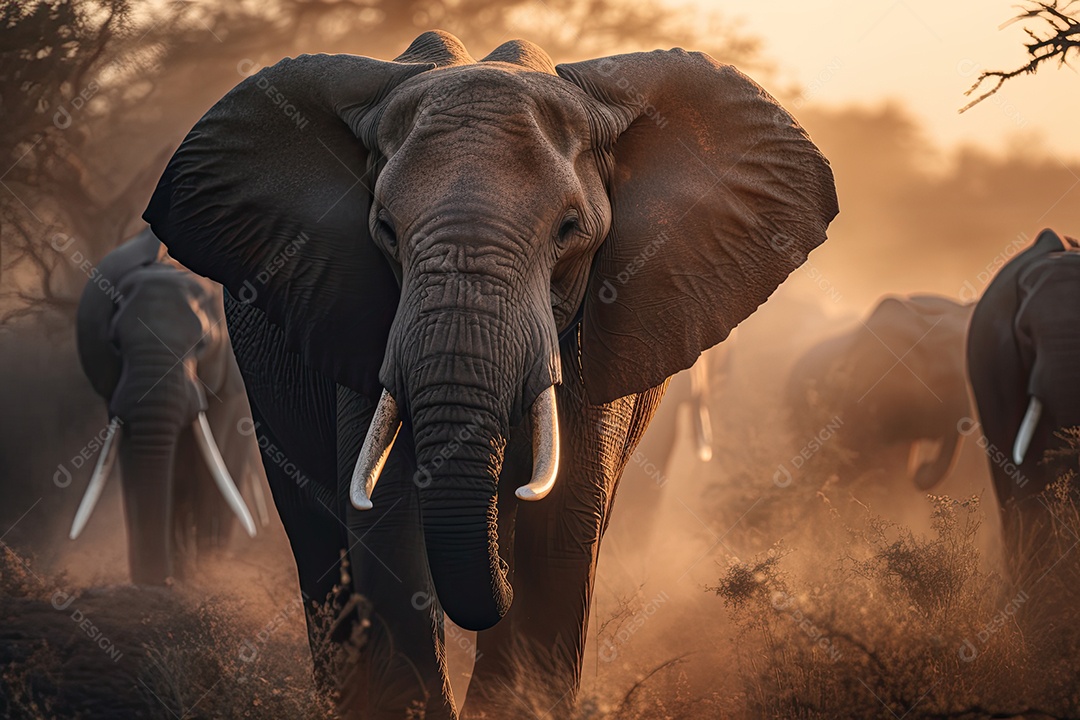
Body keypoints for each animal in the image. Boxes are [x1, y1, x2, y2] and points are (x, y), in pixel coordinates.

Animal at [72, 228, 257, 585]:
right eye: (114, 344)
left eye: (202, 344)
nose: (158, 580)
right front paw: (156, 581)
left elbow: (211, 463)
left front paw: (200, 577)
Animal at [142, 31, 838, 718]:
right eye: (385, 230)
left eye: (569, 230)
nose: (499, 555)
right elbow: (386, 525)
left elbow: (563, 524)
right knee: (316, 541)